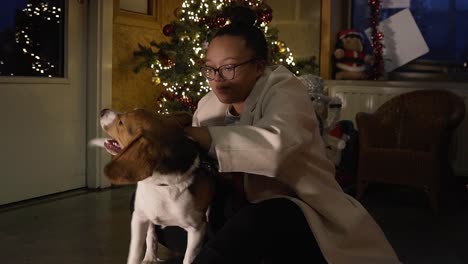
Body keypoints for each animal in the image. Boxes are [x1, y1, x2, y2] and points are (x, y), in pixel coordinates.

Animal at [91, 108, 216, 264]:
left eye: (121, 122)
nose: (103, 111)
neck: (161, 186)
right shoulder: (139, 218)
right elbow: (135, 253)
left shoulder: (197, 229)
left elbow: (188, 259)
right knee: (151, 235)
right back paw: (150, 257)